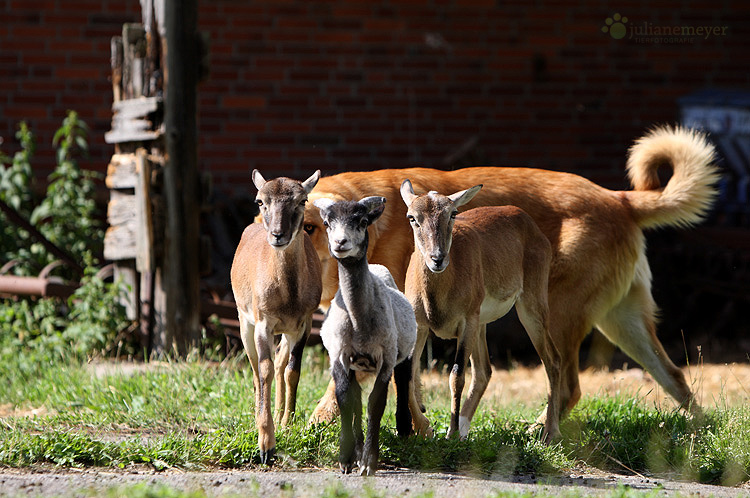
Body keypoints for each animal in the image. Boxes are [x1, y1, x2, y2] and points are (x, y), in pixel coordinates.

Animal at [312, 195, 418, 474]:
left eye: (361, 221)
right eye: (327, 223)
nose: (340, 243)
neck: (359, 322)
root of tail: (378, 267)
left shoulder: (386, 358)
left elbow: (376, 404)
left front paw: (370, 461)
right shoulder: (339, 357)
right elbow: (347, 401)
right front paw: (347, 458)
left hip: (404, 350)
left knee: (404, 380)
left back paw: (404, 428)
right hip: (355, 364)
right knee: (357, 398)